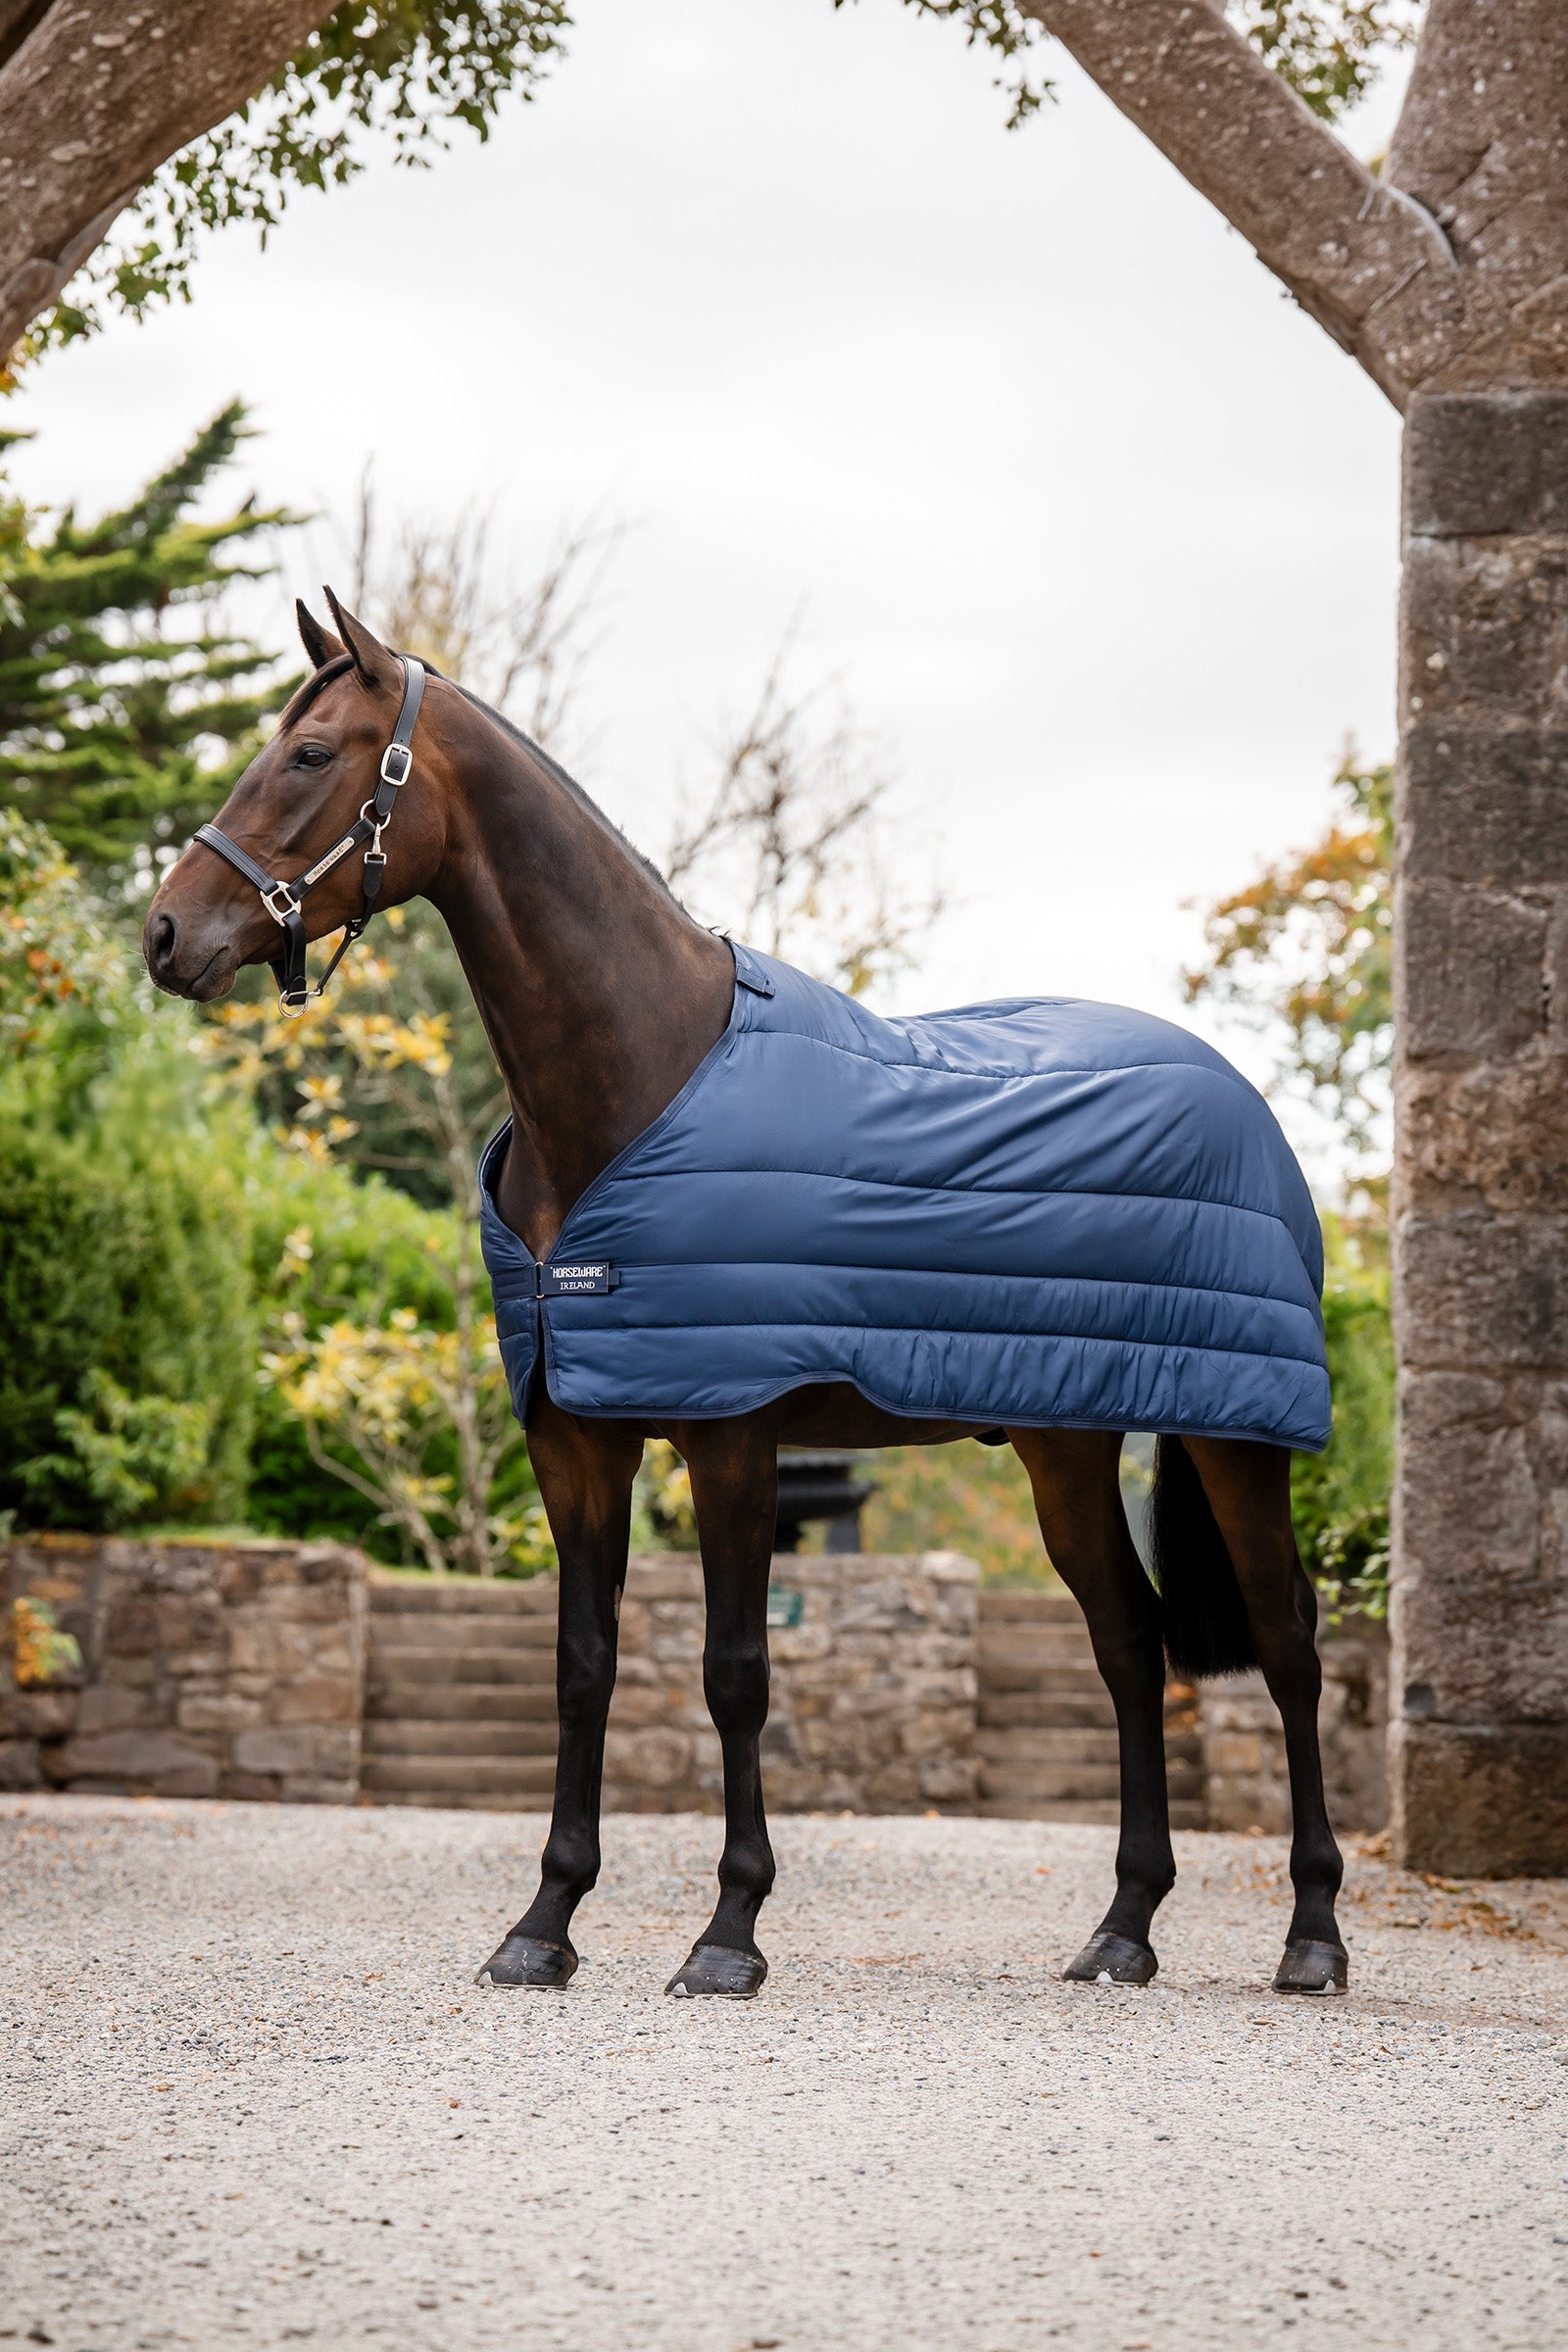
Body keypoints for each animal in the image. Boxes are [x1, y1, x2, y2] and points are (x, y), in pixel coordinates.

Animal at [143, 592, 1348, 2002]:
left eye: (311, 756)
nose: (166, 935)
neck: (638, 1076)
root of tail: (1239, 1096)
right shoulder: (576, 1440)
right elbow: (584, 1667)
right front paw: (543, 1925)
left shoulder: (731, 1436)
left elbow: (734, 1675)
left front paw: (728, 1933)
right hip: (1065, 1444)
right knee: (1131, 1647)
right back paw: (1122, 1931)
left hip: (1234, 1436)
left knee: (1287, 1642)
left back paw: (1312, 1936)